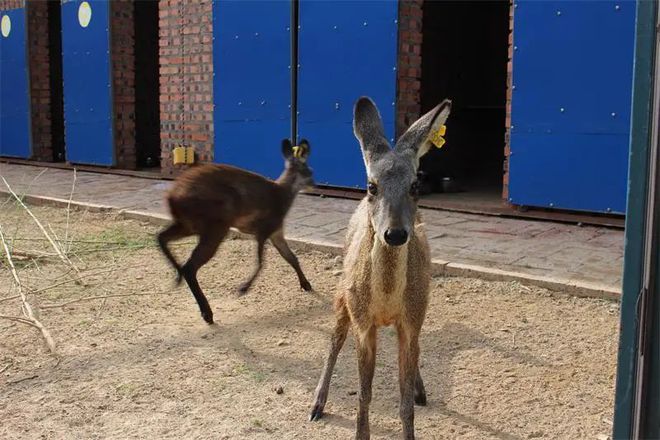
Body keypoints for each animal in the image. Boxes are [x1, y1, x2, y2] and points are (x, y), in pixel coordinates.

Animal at [159, 139, 316, 324]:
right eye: (309, 170)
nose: (314, 184)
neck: (283, 197)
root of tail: (171, 197)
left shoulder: (276, 232)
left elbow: (291, 257)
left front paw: (306, 285)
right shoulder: (264, 229)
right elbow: (262, 262)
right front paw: (243, 288)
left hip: (189, 224)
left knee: (161, 237)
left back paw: (177, 278)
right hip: (216, 225)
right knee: (189, 266)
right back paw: (207, 314)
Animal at [310, 97, 454, 440]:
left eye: (416, 185)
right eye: (371, 186)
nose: (396, 233)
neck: (387, 300)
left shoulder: (412, 318)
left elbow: (405, 404)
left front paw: (413, 406)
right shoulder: (363, 321)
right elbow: (364, 394)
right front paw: (360, 434)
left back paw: (420, 389)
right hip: (343, 294)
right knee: (334, 340)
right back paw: (317, 404)